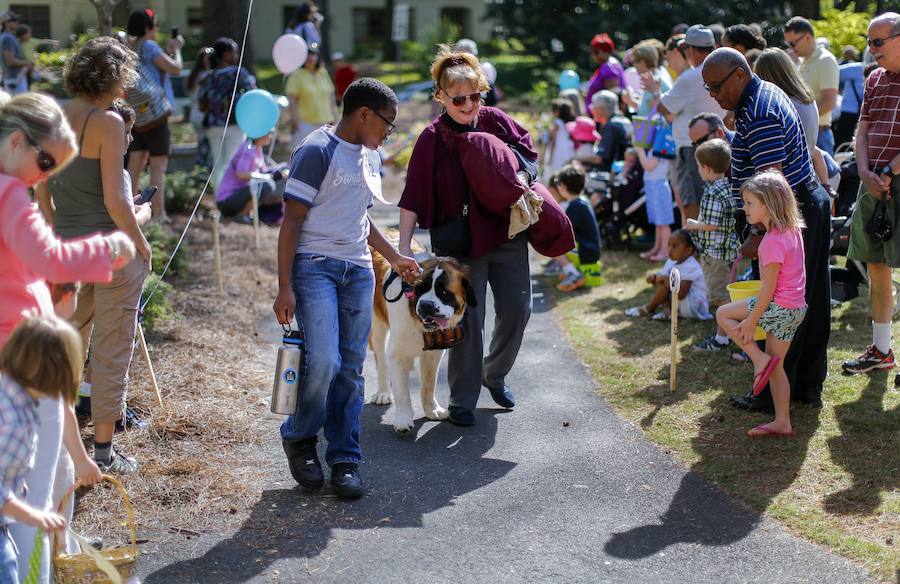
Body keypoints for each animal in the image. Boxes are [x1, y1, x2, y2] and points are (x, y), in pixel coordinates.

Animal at [370, 249, 474, 432]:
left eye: (444, 293)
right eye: (419, 288)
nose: (426, 305)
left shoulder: (434, 354)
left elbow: (429, 382)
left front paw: (432, 409)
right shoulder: (397, 354)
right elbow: (402, 389)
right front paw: (403, 418)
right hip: (377, 325)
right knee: (381, 359)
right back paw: (383, 393)